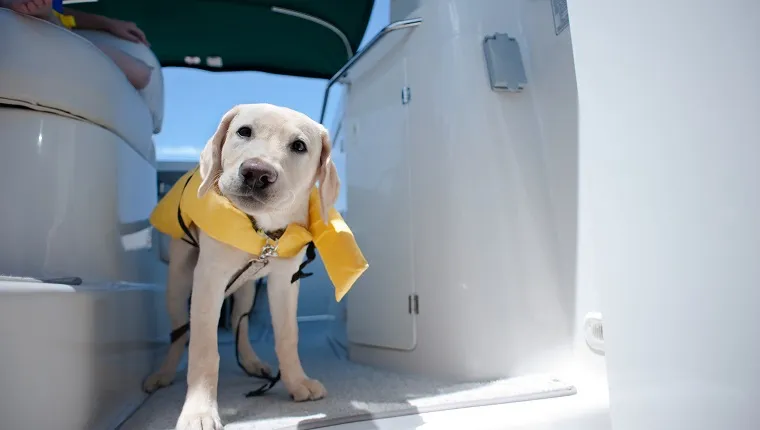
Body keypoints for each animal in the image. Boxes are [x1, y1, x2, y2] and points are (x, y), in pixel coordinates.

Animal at [145, 104, 338, 430]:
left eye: (299, 146)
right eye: (244, 131)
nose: (257, 172)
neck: (262, 230)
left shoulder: (285, 281)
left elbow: (288, 336)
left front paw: (297, 383)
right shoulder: (208, 279)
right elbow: (204, 351)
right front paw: (199, 411)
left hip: (247, 289)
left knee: (239, 320)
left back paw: (251, 362)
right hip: (178, 282)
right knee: (179, 331)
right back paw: (163, 373)